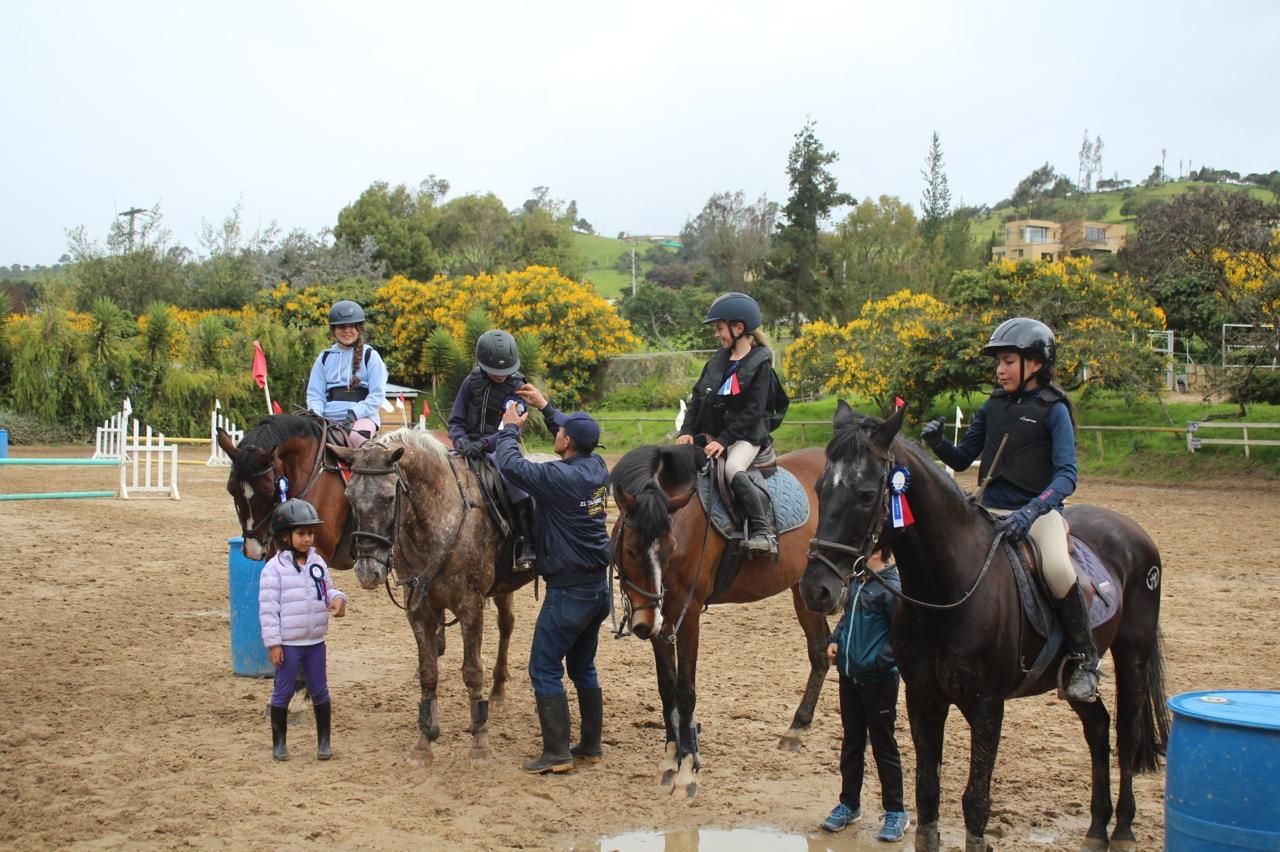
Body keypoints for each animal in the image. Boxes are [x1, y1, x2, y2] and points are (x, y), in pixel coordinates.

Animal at [331, 428, 531, 766]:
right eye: (349, 497)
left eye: (388, 497)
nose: (368, 570)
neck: (439, 520)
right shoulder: (419, 611)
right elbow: (428, 673)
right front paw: (424, 743)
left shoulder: (470, 607)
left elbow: (472, 671)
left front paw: (480, 744)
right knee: (507, 624)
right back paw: (498, 691)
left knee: (507, 627)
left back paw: (498, 692)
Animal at [609, 442, 832, 799]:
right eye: (629, 550)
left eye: (670, 548)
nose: (643, 623)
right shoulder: (662, 618)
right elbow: (666, 687)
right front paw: (670, 760)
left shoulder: (686, 615)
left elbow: (686, 689)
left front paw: (687, 771)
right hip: (807, 589)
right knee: (820, 651)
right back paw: (796, 729)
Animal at [800, 402, 1170, 851]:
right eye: (820, 489)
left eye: (867, 494)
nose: (816, 589)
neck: (946, 591)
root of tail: (1132, 531)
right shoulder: (923, 697)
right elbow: (927, 791)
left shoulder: (987, 705)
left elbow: (976, 799)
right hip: (1070, 677)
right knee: (1097, 727)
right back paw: (1097, 827)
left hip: (1132, 651)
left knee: (1127, 733)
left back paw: (1123, 829)